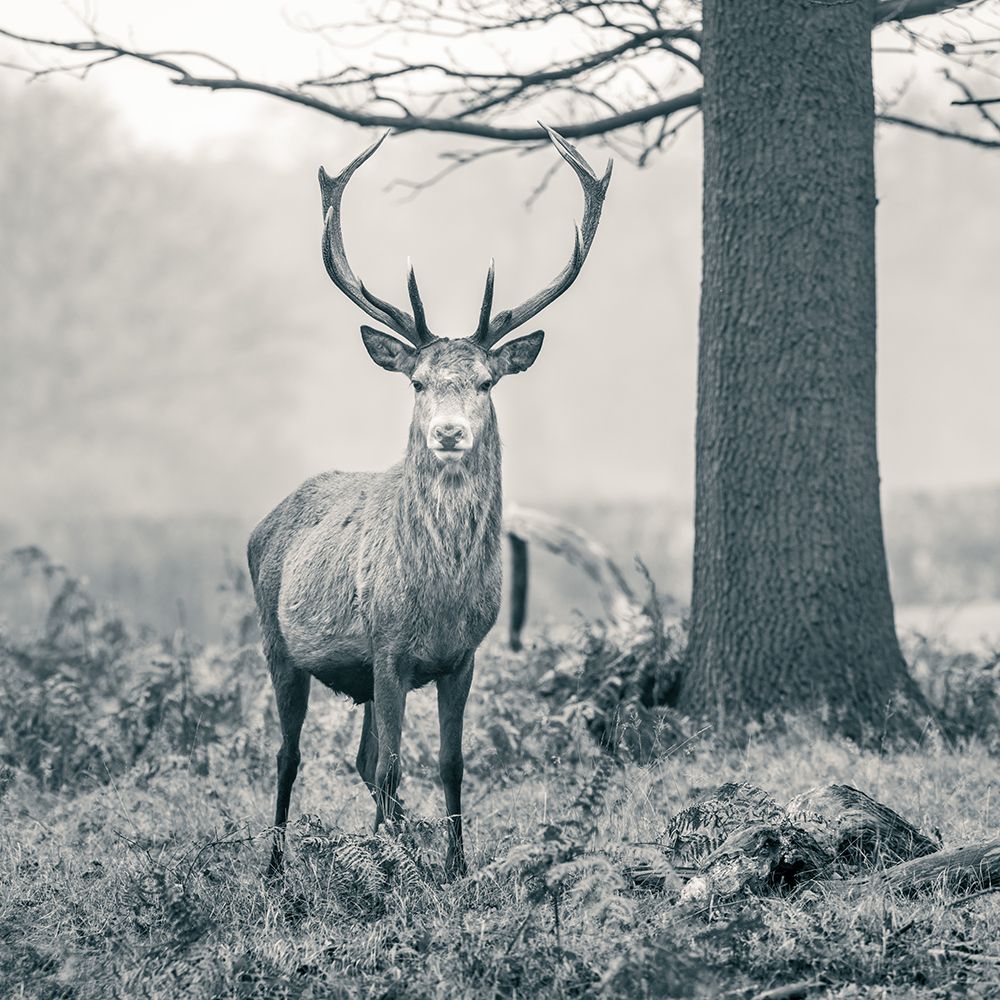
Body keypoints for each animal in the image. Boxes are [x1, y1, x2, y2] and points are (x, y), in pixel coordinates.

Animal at [247, 125, 611, 879]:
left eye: (485, 382)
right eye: (417, 382)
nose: (448, 432)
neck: (439, 597)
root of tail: (262, 524)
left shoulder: (462, 656)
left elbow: (449, 762)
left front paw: (453, 866)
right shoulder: (387, 647)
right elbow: (394, 765)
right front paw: (395, 873)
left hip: (355, 674)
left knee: (360, 759)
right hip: (276, 639)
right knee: (291, 755)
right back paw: (275, 867)